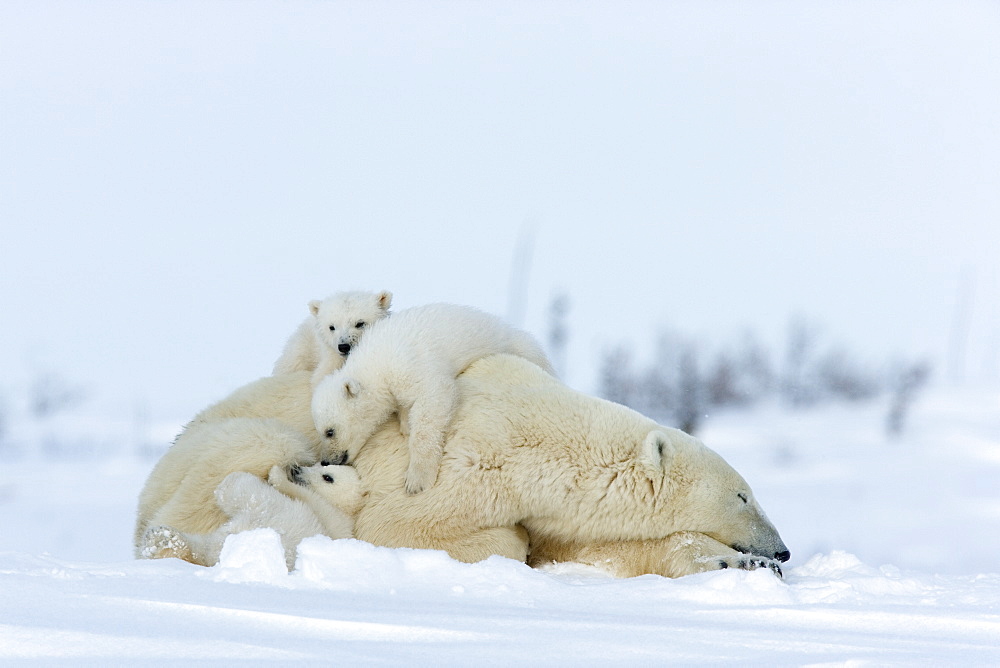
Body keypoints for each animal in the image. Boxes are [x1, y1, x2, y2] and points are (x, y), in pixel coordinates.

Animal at [143, 464, 370, 568]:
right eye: (324, 464)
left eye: (328, 477)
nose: (297, 469)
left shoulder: (326, 514)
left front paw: (277, 474)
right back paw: (161, 540)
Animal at [312, 302, 556, 496]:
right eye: (321, 430)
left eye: (330, 431)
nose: (326, 460)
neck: (376, 363)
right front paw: (406, 423)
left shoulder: (409, 364)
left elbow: (434, 399)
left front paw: (417, 480)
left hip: (520, 347)